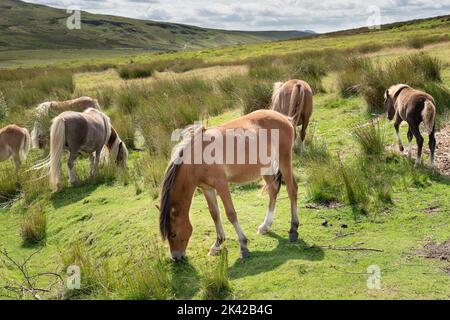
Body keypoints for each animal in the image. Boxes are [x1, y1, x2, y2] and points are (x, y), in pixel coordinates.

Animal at [158, 110, 298, 260]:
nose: (175, 257)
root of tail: (284, 118)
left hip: (284, 161)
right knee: (273, 191)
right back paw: (265, 226)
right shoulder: (207, 188)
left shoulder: (222, 185)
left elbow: (230, 214)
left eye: (173, 234)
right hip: (265, 168)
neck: (198, 156)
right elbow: (214, 214)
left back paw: (293, 229)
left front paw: (243, 245)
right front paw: (217, 244)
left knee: (292, 190)